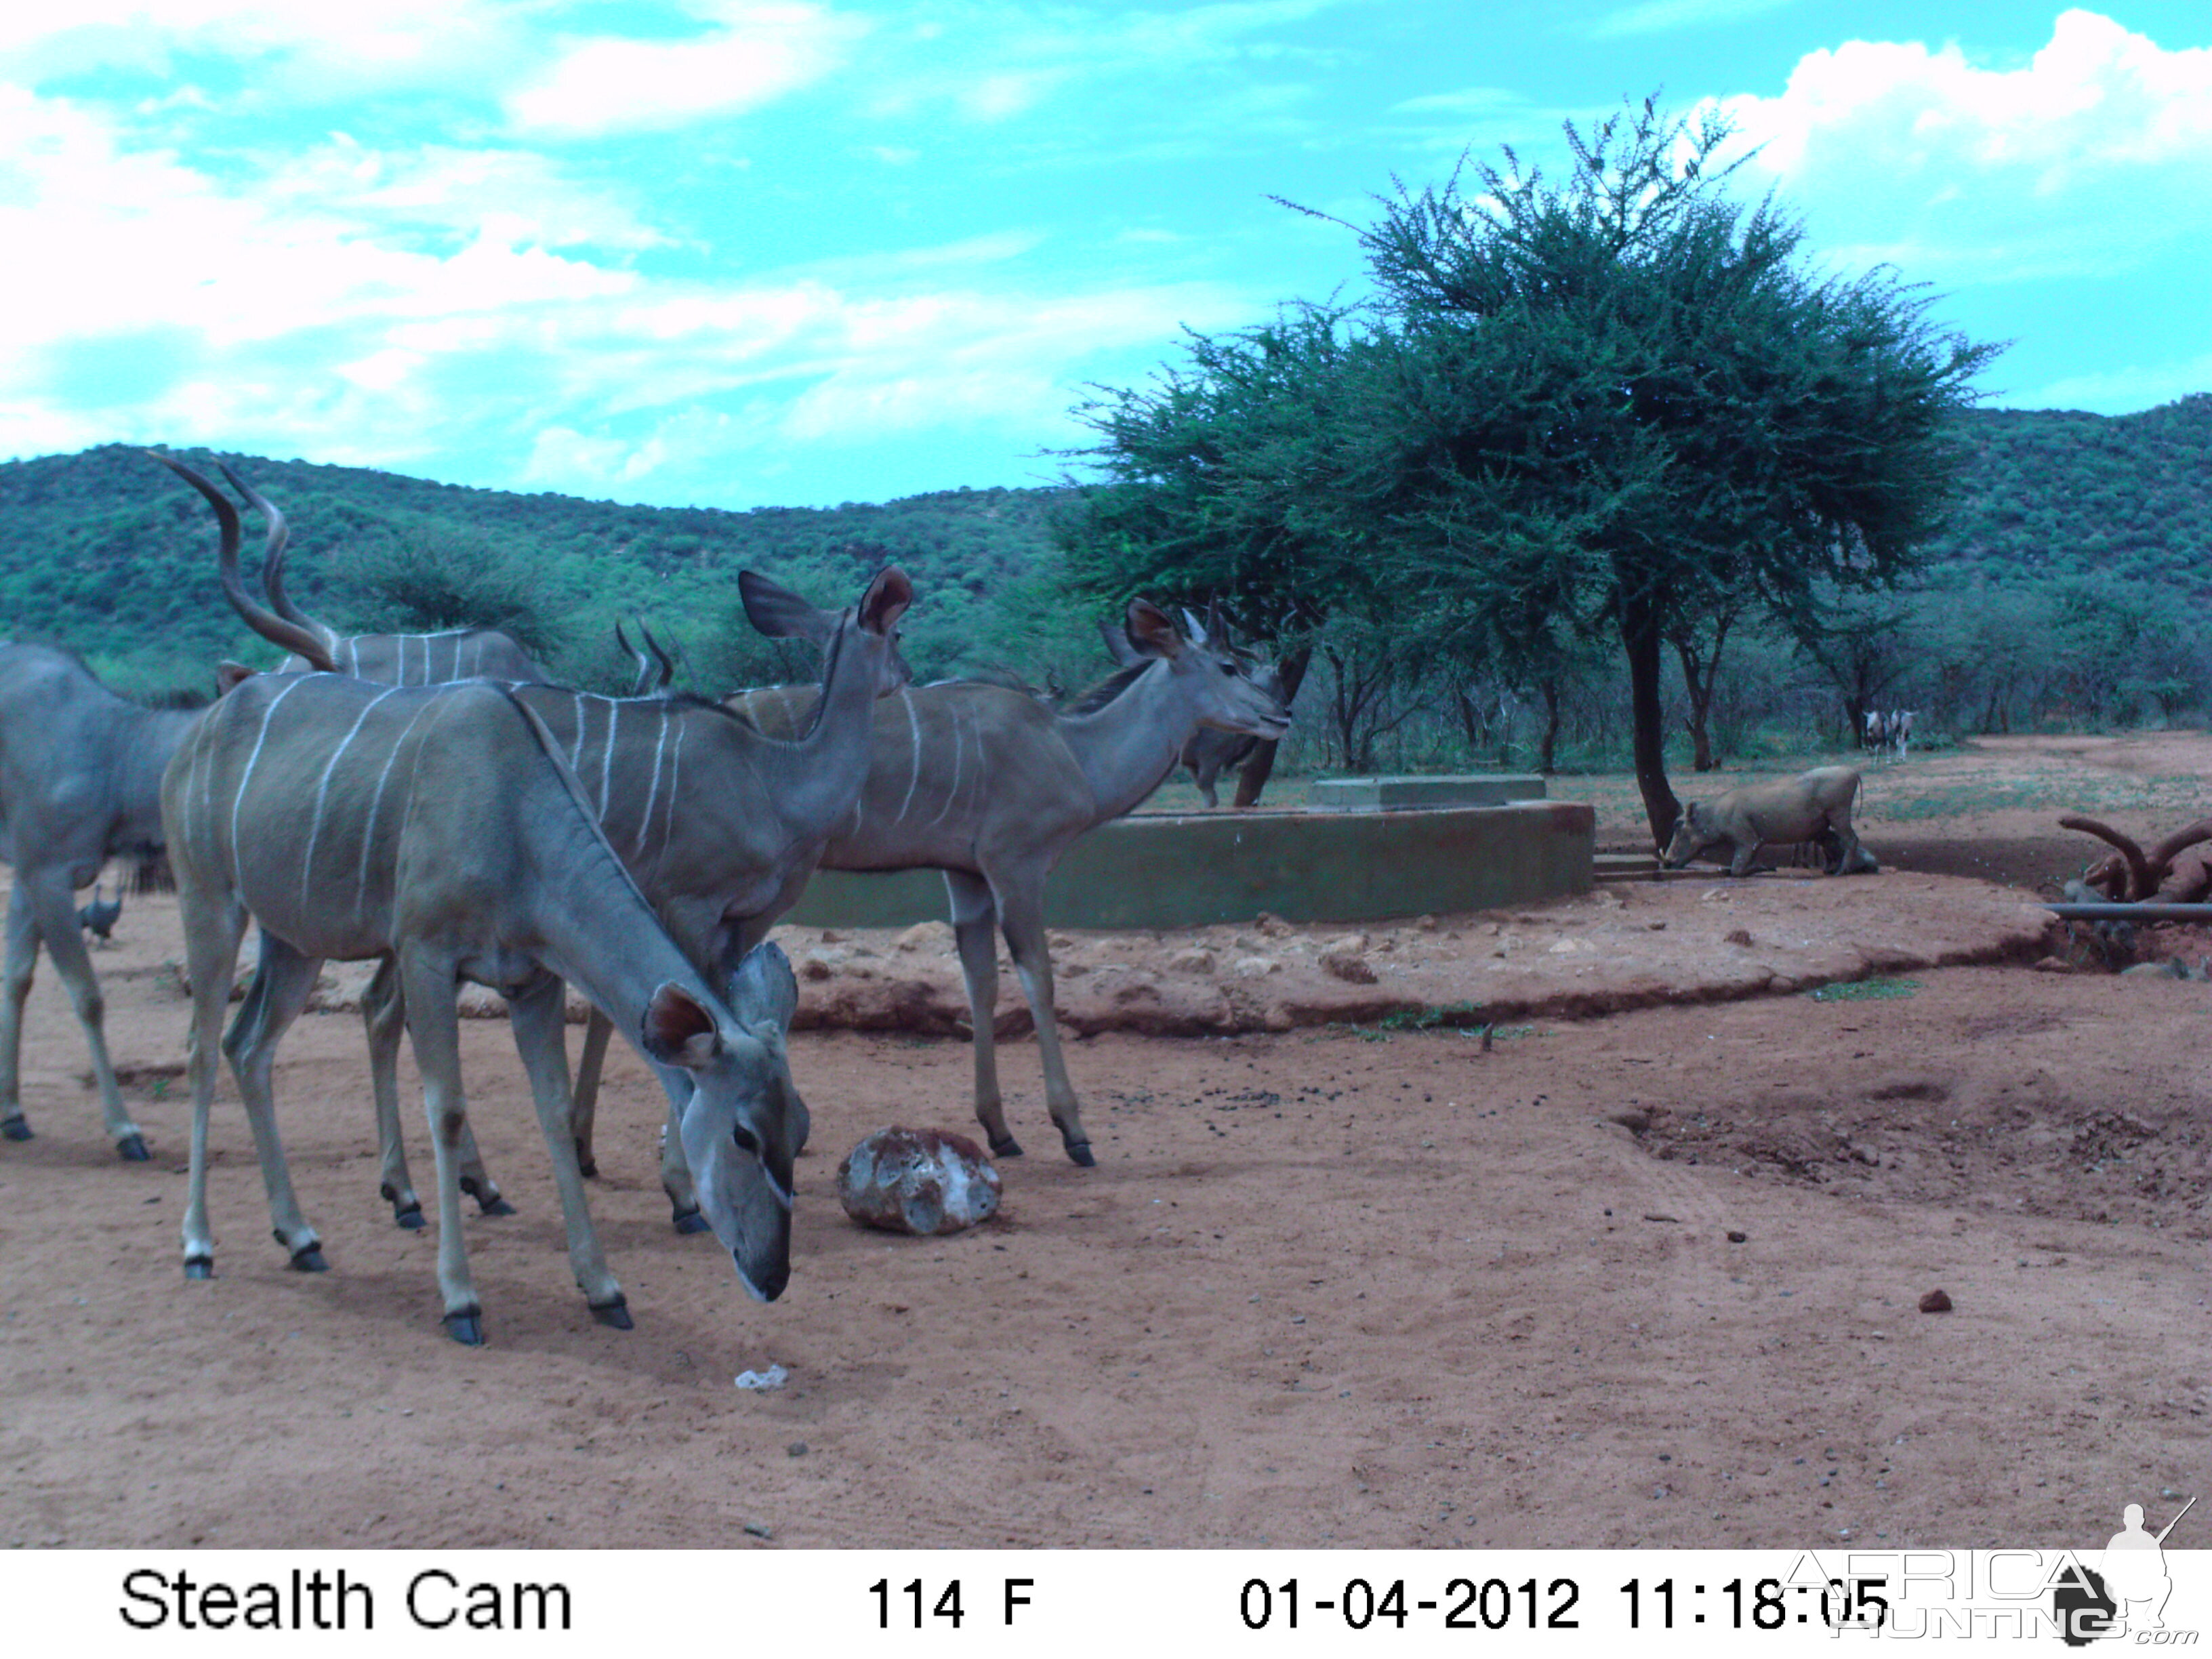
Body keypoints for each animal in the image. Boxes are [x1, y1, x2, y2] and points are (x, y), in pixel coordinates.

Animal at [0, 646, 205, 1159]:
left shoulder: (28, 880)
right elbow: (88, 997)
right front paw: (125, 1131)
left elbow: (16, 979)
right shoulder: (48, 877)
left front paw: (12, 1114)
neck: (111, 750)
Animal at [575, 601, 1292, 1168]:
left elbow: (981, 984)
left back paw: (589, 1146)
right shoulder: (1016, 866)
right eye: (1229, 667)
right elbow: (1038, 979)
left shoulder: (967, 877)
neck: (1072, 750)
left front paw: (1000, 1132)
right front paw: (1073, 1132)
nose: (1280, 715)